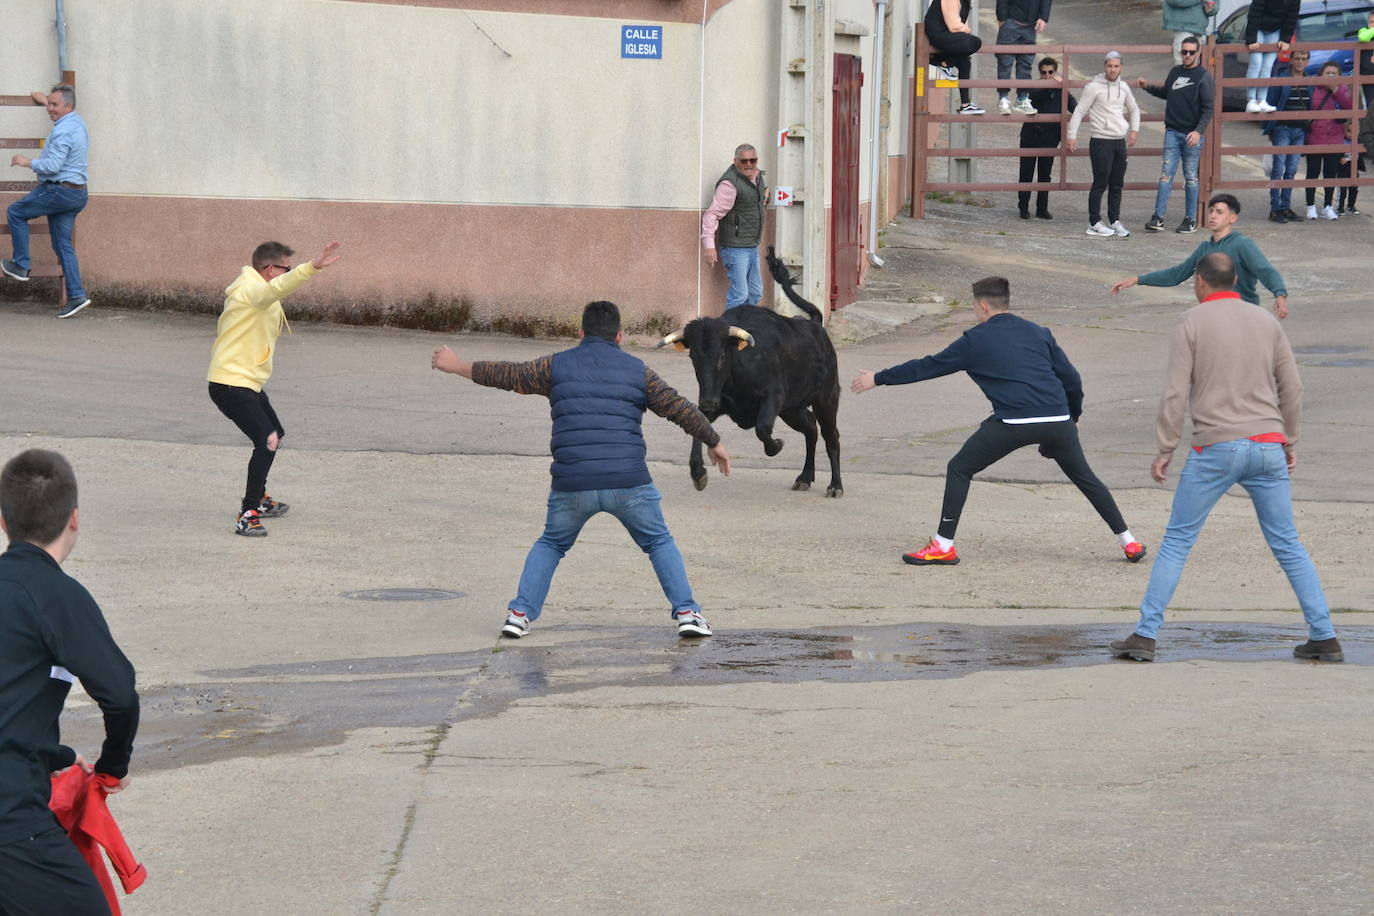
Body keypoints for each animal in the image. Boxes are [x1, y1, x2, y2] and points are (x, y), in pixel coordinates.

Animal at [654, 247, 835, 497]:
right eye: (693, 357)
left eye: (722, 355)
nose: (707, 402)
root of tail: (816, 325)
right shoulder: (721, 404)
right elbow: (698, 427)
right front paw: (698, 473)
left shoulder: (773, 397)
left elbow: (762, 428)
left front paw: (776, 446)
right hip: (792, 409)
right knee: (810, 428)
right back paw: (805, 477)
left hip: (826, 398)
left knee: (831, 437)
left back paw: (835, 485)